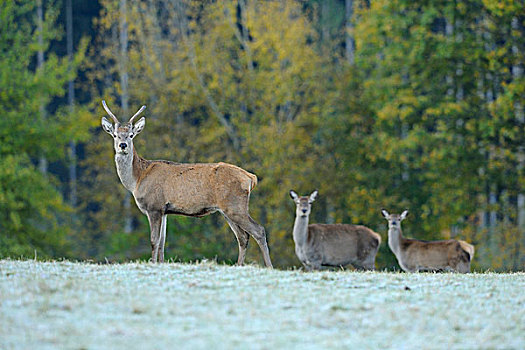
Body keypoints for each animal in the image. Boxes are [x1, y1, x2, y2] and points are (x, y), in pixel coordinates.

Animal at [102, 101, 272, 268]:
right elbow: (162, 242)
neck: (137, 179)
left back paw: (269, 267)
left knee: (258, 230)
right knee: (243, 237)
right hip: (227, 209)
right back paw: (239, 265)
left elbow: (153, 241)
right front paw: (161, 264)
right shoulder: (164, 210)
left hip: (235, 205)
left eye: (131, 135)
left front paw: (153, 263)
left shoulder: (154, 206)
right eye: (115, 135)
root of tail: (251, 178)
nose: (123, 145)